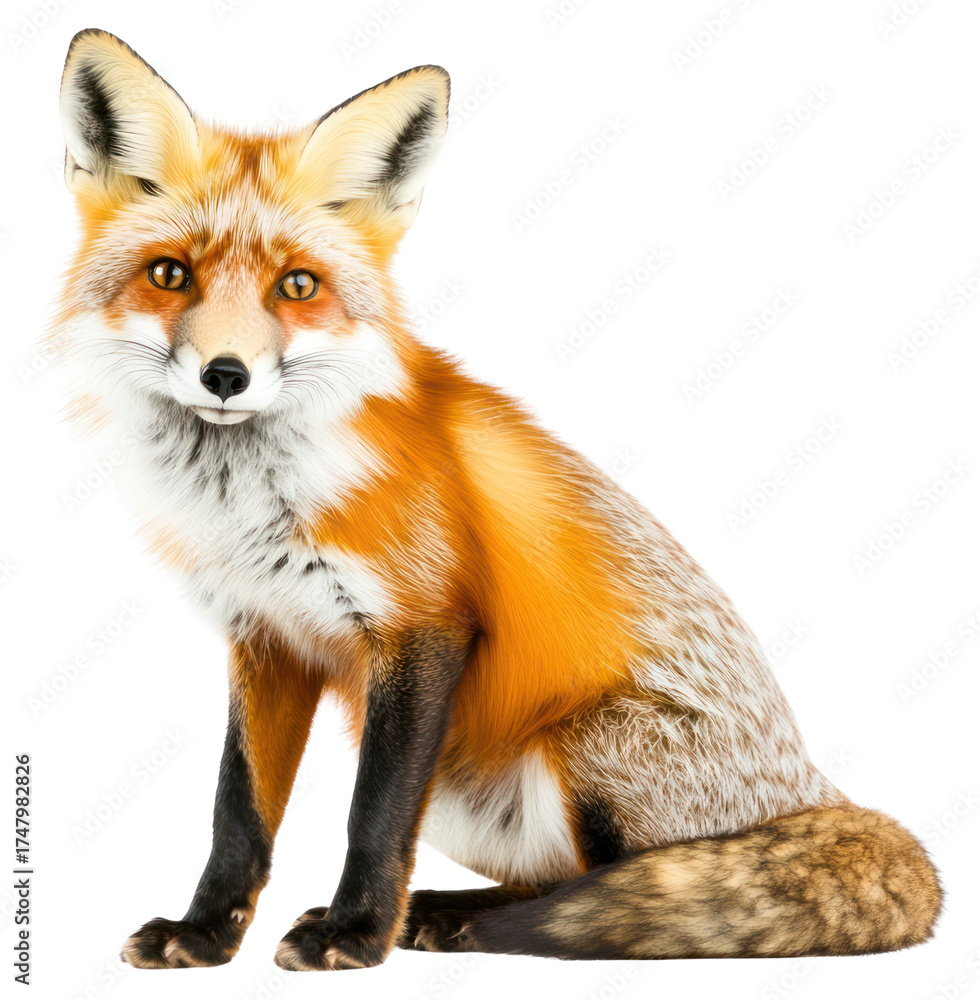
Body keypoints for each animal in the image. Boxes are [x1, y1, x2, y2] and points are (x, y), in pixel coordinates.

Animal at [53, 28, 942, 970]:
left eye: (296, 286)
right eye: (169, 274)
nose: (226, 374)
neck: (253, 497)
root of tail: (811, 790)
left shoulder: (423, 626)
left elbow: (373, 816)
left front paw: (356, 935)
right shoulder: (267, 637)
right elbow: (238, 810)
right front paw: (205, 933)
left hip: (587, 750)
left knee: (616, 903)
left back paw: (457, 922)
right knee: (565, 884)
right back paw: (439, 915)